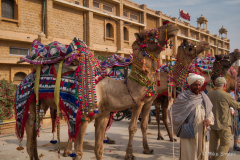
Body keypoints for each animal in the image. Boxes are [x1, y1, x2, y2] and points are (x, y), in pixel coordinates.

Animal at [14, 21, 178, 159]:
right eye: (152, 33)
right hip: (29, 102)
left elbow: (99, 150)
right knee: (30, 137)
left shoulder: (103, 116)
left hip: (43, 103)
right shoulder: (83, 117)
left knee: (34, 138)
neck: (108, 89)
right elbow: (79, 153)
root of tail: (24, 80)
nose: (172, 26)